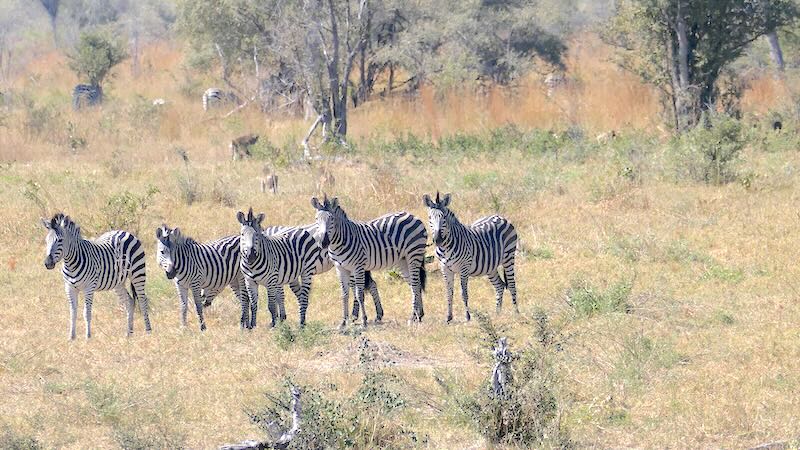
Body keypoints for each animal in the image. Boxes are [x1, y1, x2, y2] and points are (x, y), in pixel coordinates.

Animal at [311, 195, 427, 328]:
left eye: (331, 219)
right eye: (316, 219)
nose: (323, 242)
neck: (338, 243)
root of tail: (412, 215)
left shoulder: (358, 267)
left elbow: (359, 294)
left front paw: (364, 321)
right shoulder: (340, 268)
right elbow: (344, 294)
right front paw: (343, 322)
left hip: (414, 254)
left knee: (415, 284)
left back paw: (412, 317)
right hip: (403, 261)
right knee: (415, 284)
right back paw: (418, 316)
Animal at [423, 192, 519, 322]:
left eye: (444, 218)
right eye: (430, 218)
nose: (438, 240)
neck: (445, 248)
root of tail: (500, 217)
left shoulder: (464, 268)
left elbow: (464, 294)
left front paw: (467, 316)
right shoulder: (445, 269)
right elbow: (449, 293)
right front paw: (449, 317)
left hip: (509, 257)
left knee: (512, 285)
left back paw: (516, 313)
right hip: (490, 266)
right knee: (500, 285)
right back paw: (497, 313)